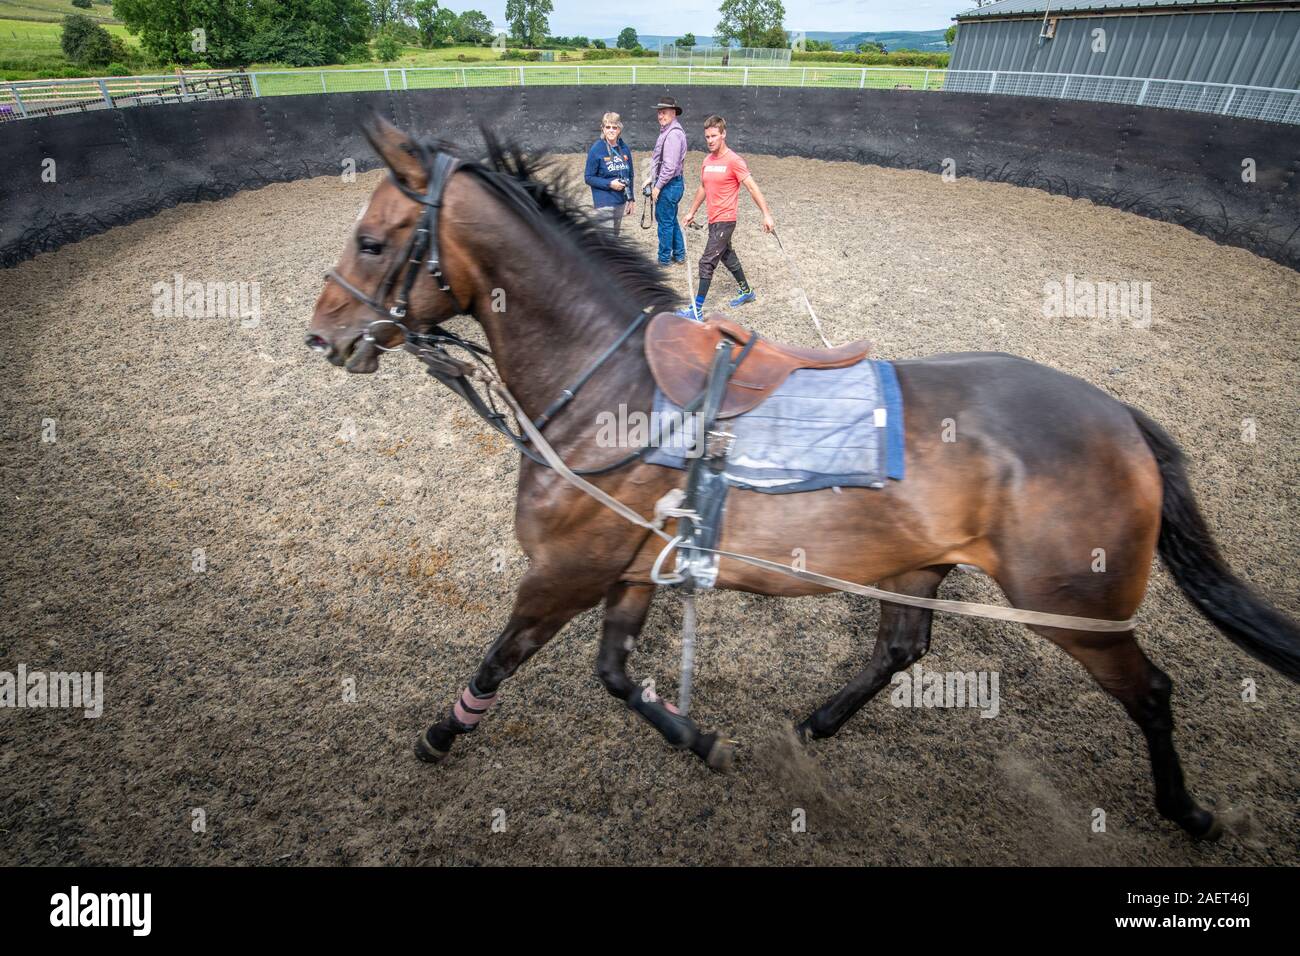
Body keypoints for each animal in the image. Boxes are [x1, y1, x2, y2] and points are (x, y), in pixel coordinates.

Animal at [305, 116, 1299, 840]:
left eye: (371, 241)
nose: (322, 335)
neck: (610, 386)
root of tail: (1121, 417)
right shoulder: (630, 571)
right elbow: (617, 676)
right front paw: (703, 742)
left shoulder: (564, 573)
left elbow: (501, 659)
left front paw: (440, 734)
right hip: (920, 566)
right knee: (901, 650)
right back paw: (817, 724)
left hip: (1076, 608)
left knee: (1151, 694)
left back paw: (1186, 811)